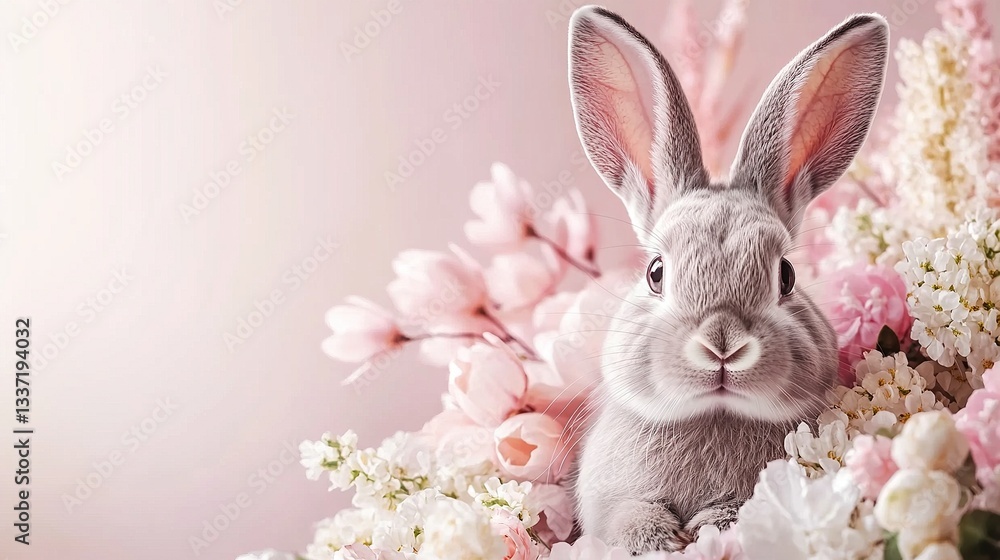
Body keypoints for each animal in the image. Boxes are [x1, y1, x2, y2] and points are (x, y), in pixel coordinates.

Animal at [566, 5, 889, 554]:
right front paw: (657, 539)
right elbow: (624, 515)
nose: (722, 345)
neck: (714, 414)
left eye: (786, 276)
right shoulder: (607, 499)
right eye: (655, 273)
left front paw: (710, 529)